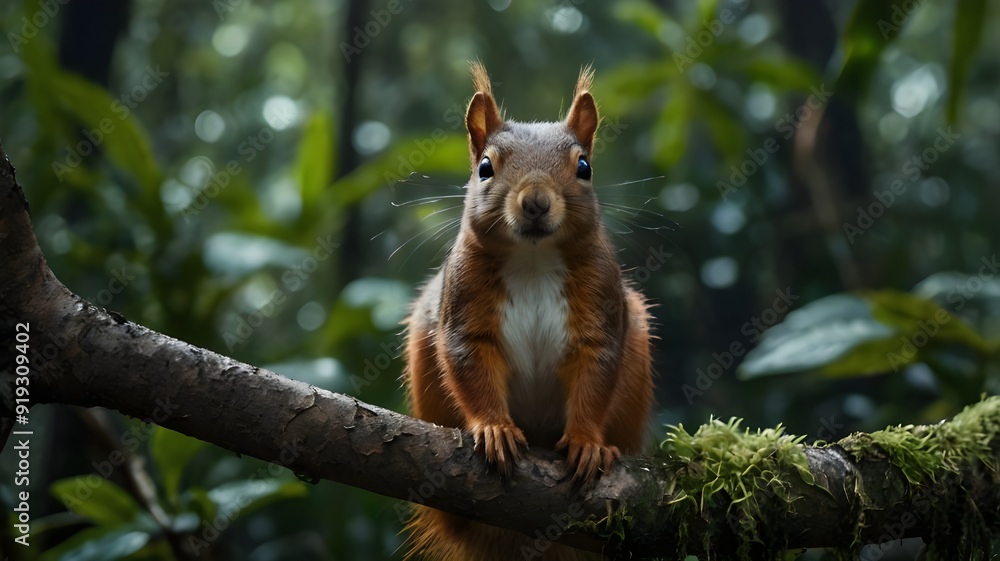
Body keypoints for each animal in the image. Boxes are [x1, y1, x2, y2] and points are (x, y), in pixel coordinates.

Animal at [402, 63, 654, 561]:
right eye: (484, 168)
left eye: (584, 167)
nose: (535, 201)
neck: (533, 260)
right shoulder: (463, 306)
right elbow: (469, 364)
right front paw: (495, 429)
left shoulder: (602, 306)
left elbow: (596, 370)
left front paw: (587, 443)